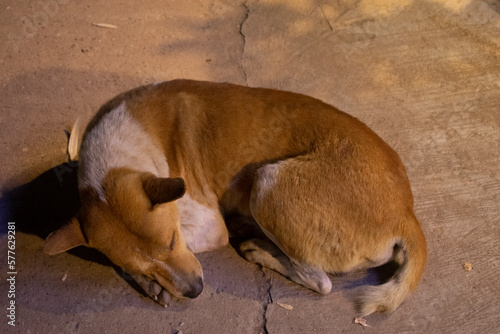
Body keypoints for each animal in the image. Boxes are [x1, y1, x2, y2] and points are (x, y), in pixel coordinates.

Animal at [44, 79, 426, 314]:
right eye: (145, 262)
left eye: (172, 241)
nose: (196, 290)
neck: (122, 150)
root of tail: (406, 213)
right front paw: (149, 281)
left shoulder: (208, 227)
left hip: (269, 185)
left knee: (321, 281)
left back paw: (263, 250)